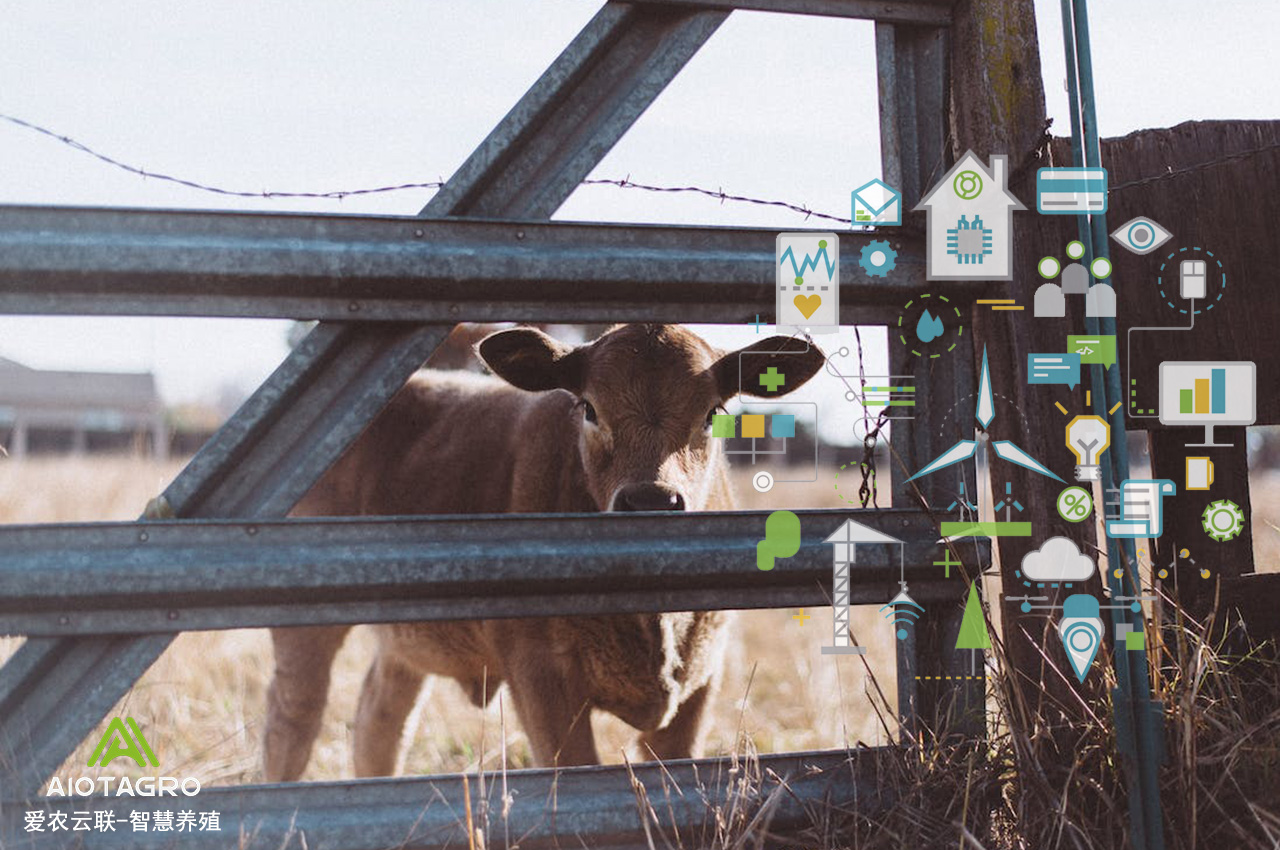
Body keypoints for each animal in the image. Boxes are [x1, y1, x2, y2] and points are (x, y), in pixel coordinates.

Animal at [264, 322, 824, 778]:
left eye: (712, 413)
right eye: (590, 408)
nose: (651, 501)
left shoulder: (699, 682)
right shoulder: (541, 678)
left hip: (407, 643)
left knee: (378, 724)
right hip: (306, 632)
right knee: (292, 723)